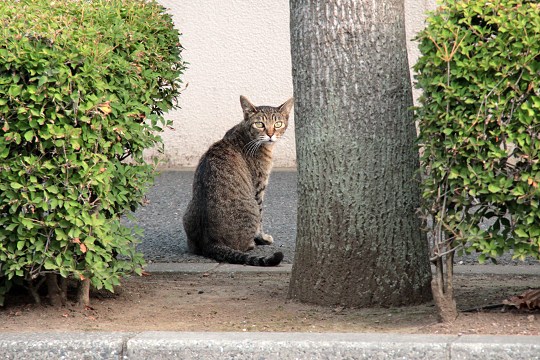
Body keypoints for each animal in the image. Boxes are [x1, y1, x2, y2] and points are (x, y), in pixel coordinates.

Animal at [181, 94, 294, 266]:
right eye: (259, 124)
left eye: (278, 124)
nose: (270, 134)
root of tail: (210, 242)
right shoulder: (259, 188)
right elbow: (261, 220)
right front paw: (262, 238)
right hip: (251, 206)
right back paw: (251, 243)